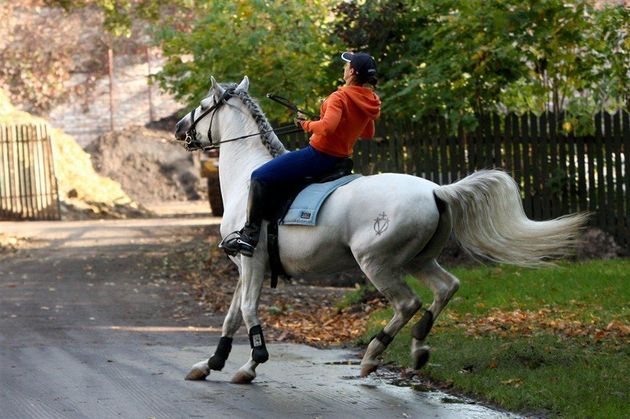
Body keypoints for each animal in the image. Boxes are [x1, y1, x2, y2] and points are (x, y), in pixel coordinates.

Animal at [174, 77, 588, 386]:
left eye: (203, 104)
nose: (179, 128)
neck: (247, 177)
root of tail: (436, 190)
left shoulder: (253, 262)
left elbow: (246, 310)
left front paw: (251, 364)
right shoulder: (245, 266)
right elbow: (231, 314)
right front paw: (211, 363)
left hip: (376, 262)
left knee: (408, 303)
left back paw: (373, 355)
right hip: (418, 259)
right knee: (446, 287)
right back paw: (418, 347)